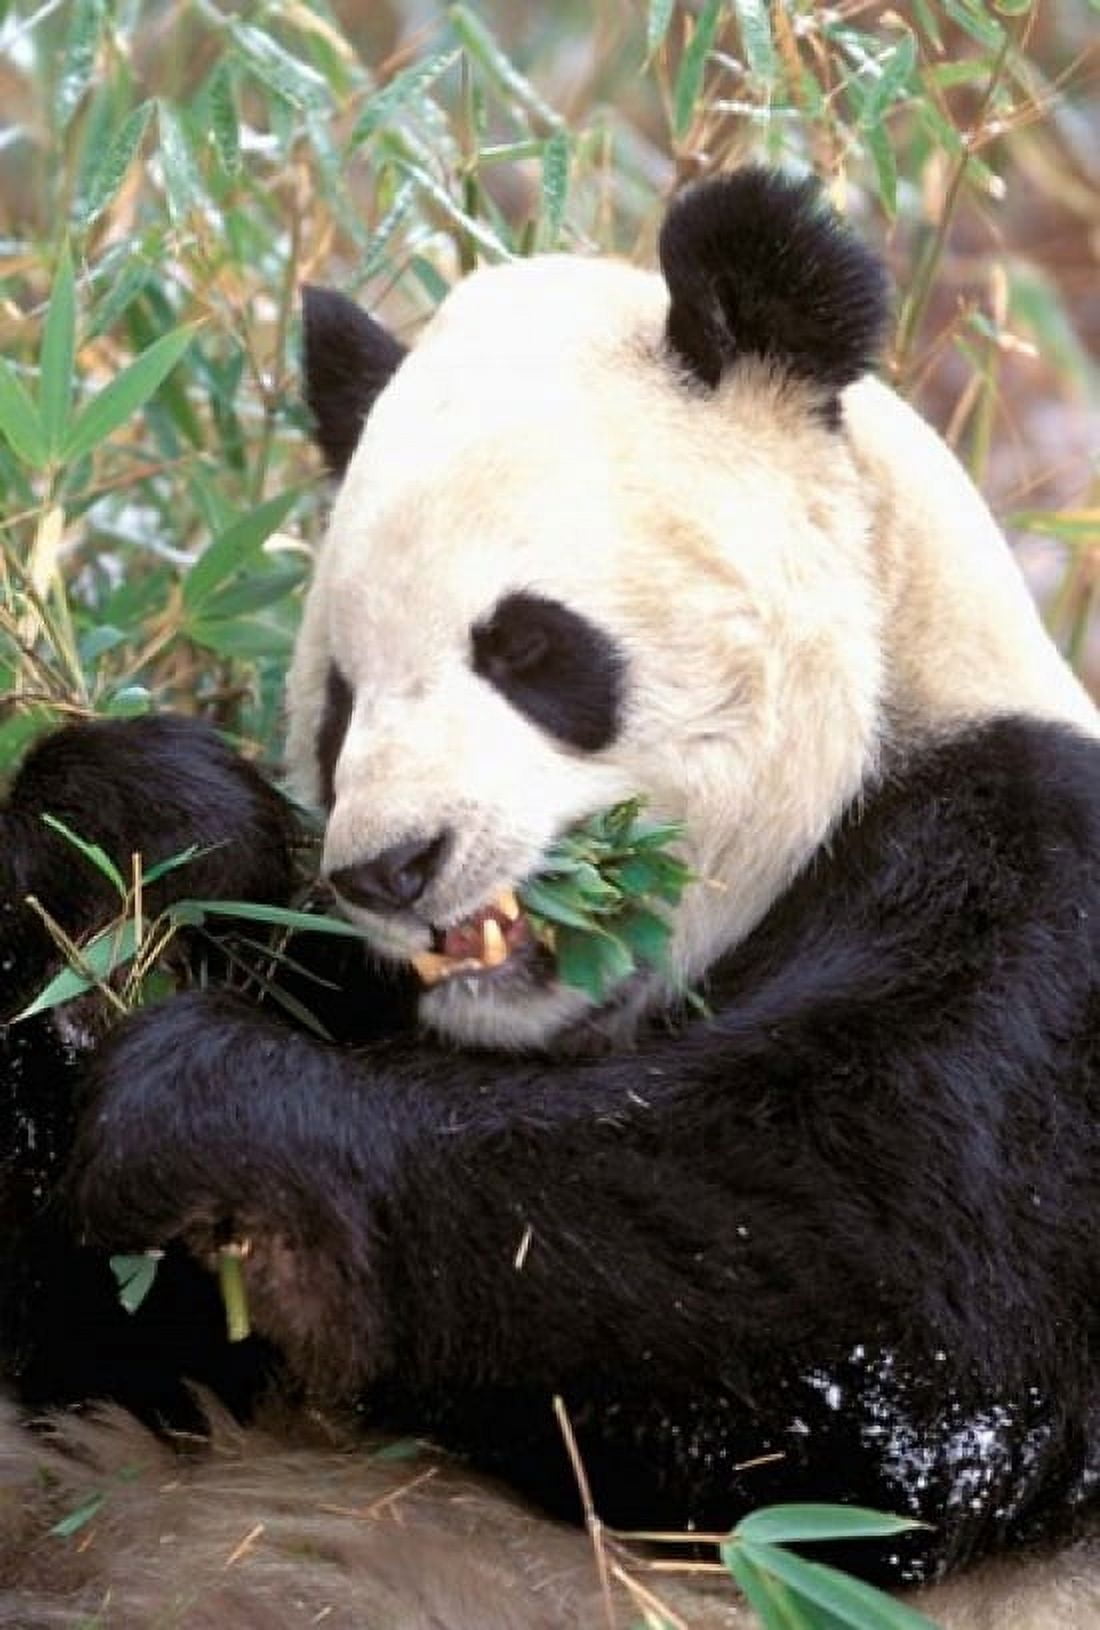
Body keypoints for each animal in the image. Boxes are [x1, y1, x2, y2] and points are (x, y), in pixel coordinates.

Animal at [1, 167, 1099, 1629]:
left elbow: (881, 1321)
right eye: (339, 702)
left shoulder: (1040, 906)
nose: (389, 867)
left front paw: (206, 1109)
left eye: (525, 646)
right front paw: (138, 825)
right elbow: (113, 1342)